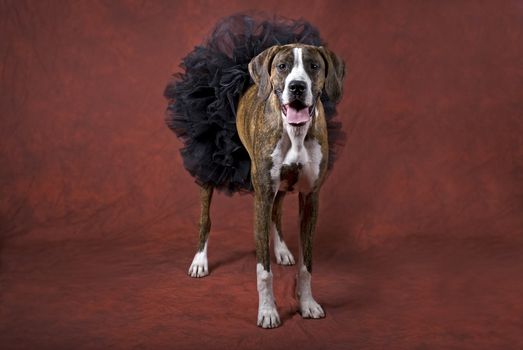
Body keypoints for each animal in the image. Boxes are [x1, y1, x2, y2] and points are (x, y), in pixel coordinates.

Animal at [187, 43, 344, 328]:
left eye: (314, 66)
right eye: (282, 66)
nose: (297, 86)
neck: (295, 133)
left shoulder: (310, 198)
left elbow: (306, 264)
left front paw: (307, 303)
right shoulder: (262, 196)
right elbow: (263, 270)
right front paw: (268, 312)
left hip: (277, 188)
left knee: (277, 213)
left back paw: (281, 250)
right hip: (210, 167)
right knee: (205, 217)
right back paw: (199, 261)